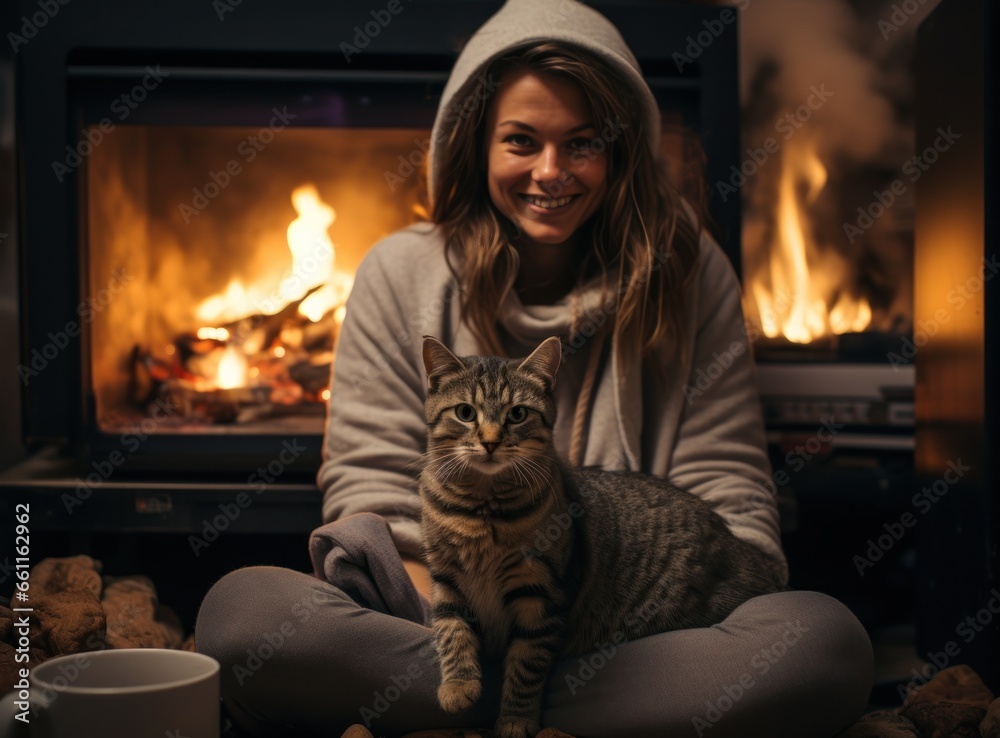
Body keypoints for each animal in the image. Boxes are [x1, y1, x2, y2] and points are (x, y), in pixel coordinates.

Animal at [418, 336, 784, 736]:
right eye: (465, 412)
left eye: (517, 415)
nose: (490, 442)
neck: (482, 511)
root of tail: (745, 551)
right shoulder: (446, 580)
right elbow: (451, 632)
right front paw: (457, 686)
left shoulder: (541, 595)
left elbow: (525, 665)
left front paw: (515, 719)